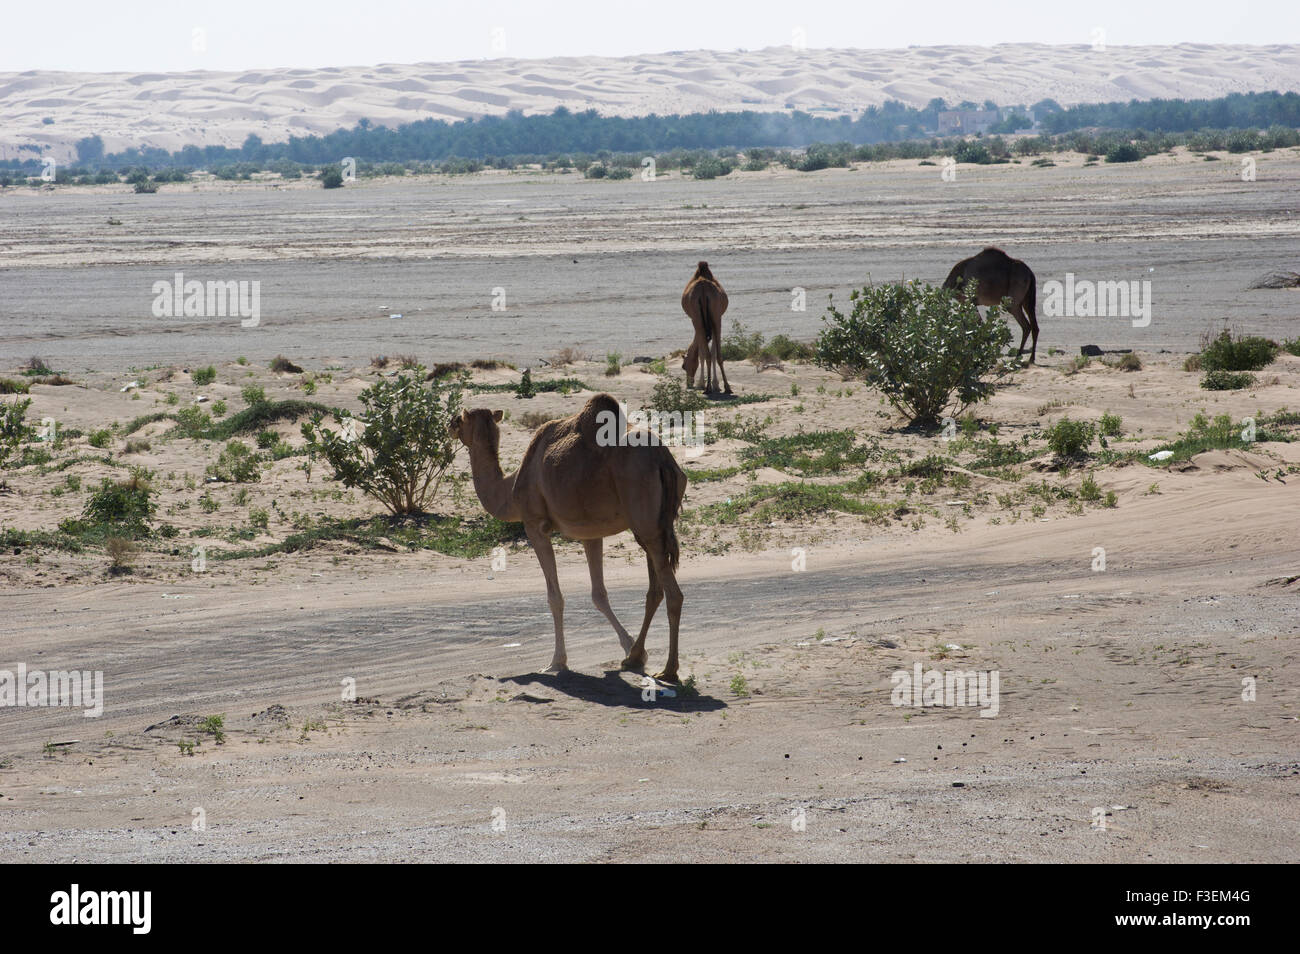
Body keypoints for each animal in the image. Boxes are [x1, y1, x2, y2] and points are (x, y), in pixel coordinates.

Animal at [449, 392, 691, 686]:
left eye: (460, 419)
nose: (448, 425)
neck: (511, 489)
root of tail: (663, 459)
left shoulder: (535, 526)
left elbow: (555, 597)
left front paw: (556, 662)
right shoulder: (590, 533)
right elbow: (599, 594)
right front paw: (630, 648)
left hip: (645, 520)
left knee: (673, 594)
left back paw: (669, 670)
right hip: (653, 527)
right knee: (655, 590)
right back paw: (633, 657)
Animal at [681, 261, 733, 395]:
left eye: (683, 366)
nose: (689, 383)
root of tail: (703, 290)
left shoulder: (696, 322)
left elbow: (701, 353)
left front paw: (701, 384)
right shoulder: (713, 321)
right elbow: (712, 352)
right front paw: (716, 384)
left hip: (698, 320)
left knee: (706, 354)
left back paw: (708, 387)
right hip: (716, 317)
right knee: (718, 355)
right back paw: (726, 387)